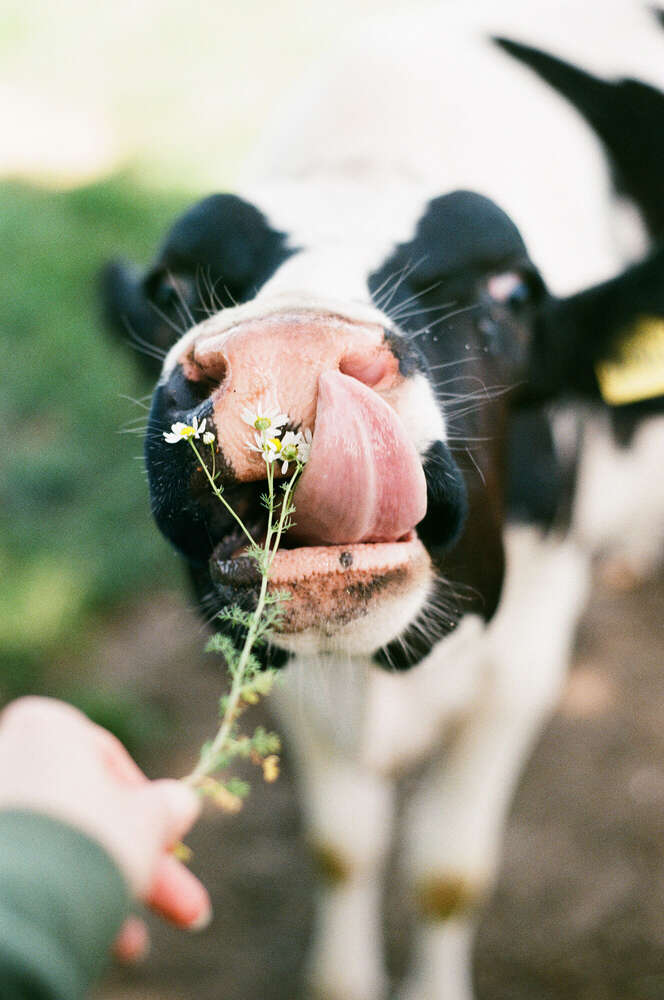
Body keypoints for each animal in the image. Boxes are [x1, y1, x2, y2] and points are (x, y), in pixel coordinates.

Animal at [103, 3, 664, 997]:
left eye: (510, 292)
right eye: (173, 284)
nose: (284, 351)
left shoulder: (526, 666)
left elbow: (446, 874)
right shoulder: (272, 665)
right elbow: (343, 850)